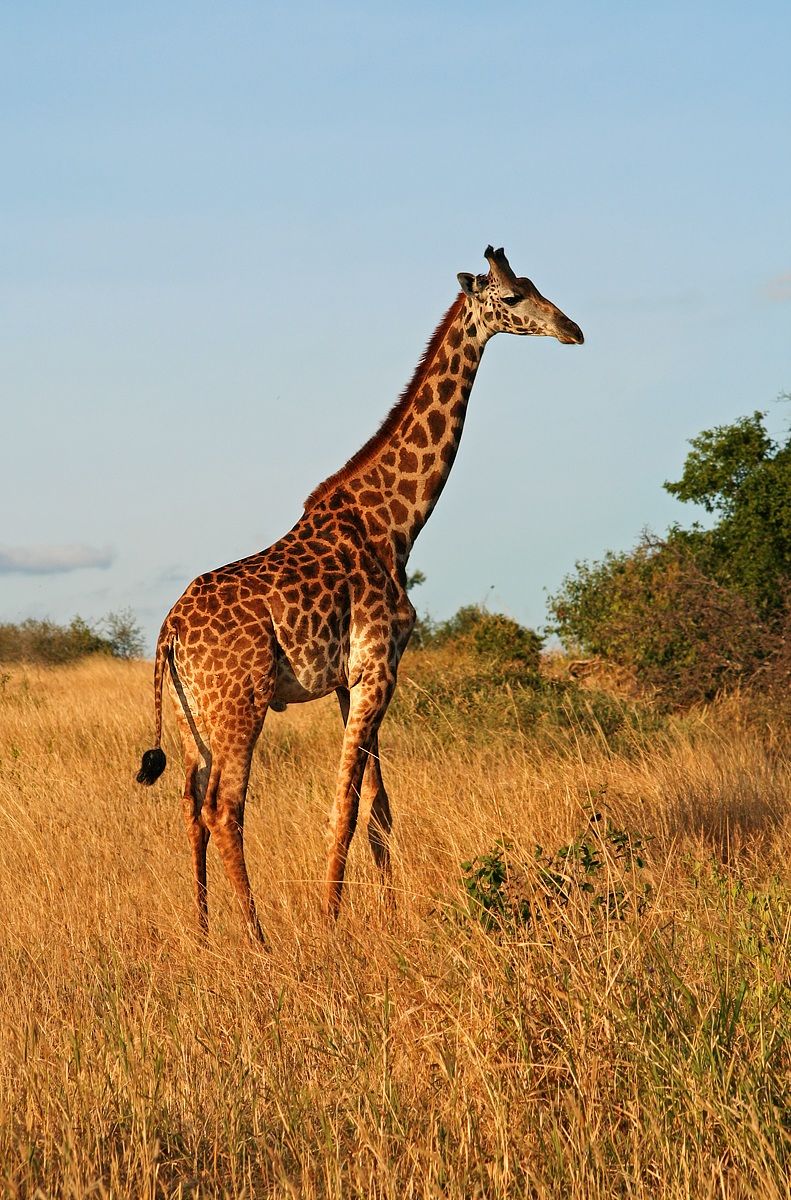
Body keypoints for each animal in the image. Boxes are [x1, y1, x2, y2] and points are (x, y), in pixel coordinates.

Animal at [137, 246, 583, 943]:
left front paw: (391, 916)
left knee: (190, 802)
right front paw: (331, 923)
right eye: (512, 298)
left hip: (193, 718)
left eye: (536, 284)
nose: (572, 329)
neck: (395, 524)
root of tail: (168, 634)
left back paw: (206, 931)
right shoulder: (379, 665)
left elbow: (380, 807)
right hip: (240, 703)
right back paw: (258, 939)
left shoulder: (353, 679)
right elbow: (347, 804)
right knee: (223, 807)